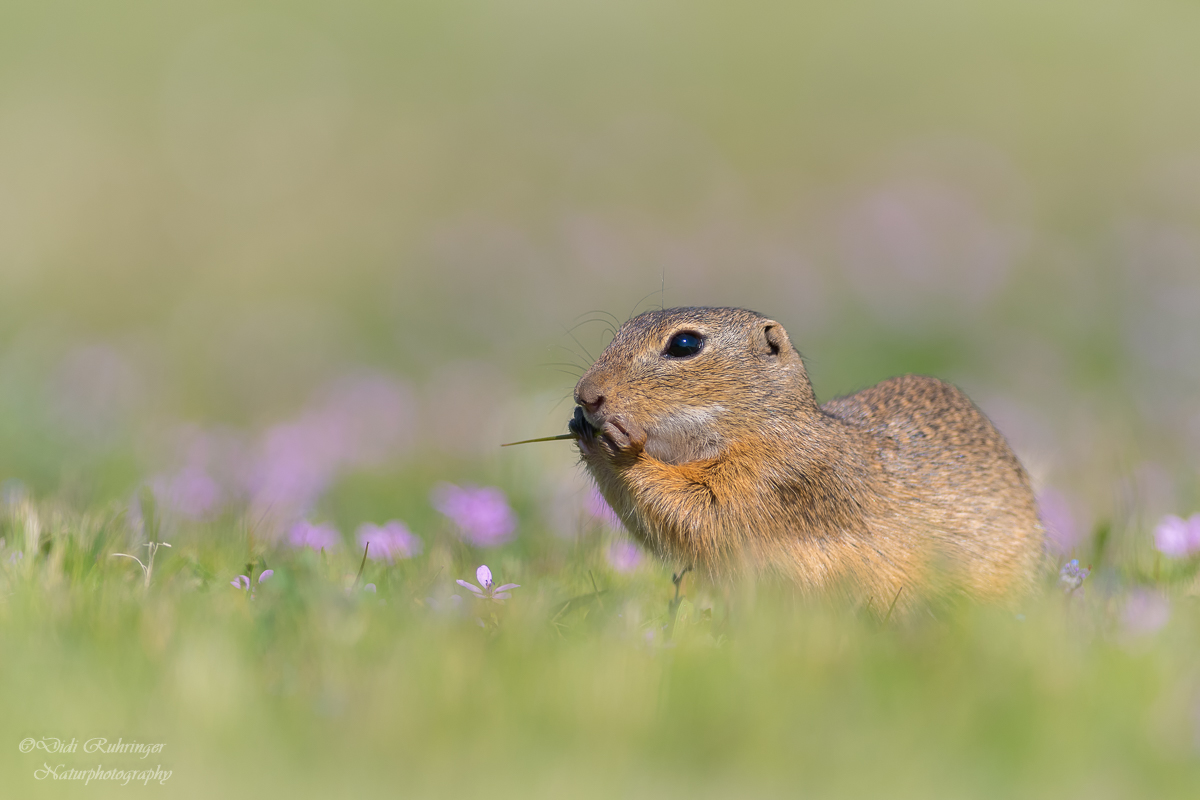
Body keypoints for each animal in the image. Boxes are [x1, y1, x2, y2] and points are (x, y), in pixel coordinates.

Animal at [566, 307, 1046, 606]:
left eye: (684, 344)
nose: (585, 395)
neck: (767, 426)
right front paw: (580, 428)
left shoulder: (780, 477)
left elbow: (702, 511)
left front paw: (618, 444)